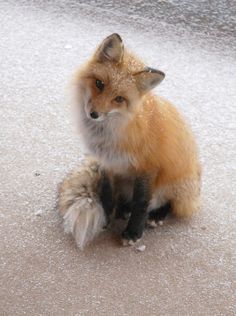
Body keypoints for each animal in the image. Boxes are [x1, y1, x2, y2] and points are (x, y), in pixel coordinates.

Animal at [58, 33, 200, 248]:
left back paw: (156, 215)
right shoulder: (107, 163)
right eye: (99, 84)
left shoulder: (148, 167)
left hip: (176, 183)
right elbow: (107, 194)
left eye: (119, 99)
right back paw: (124, 209)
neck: (109, 133)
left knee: (172, 204)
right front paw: (107, 218)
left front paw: (133, 232)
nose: (94, 114)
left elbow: (141, 202)